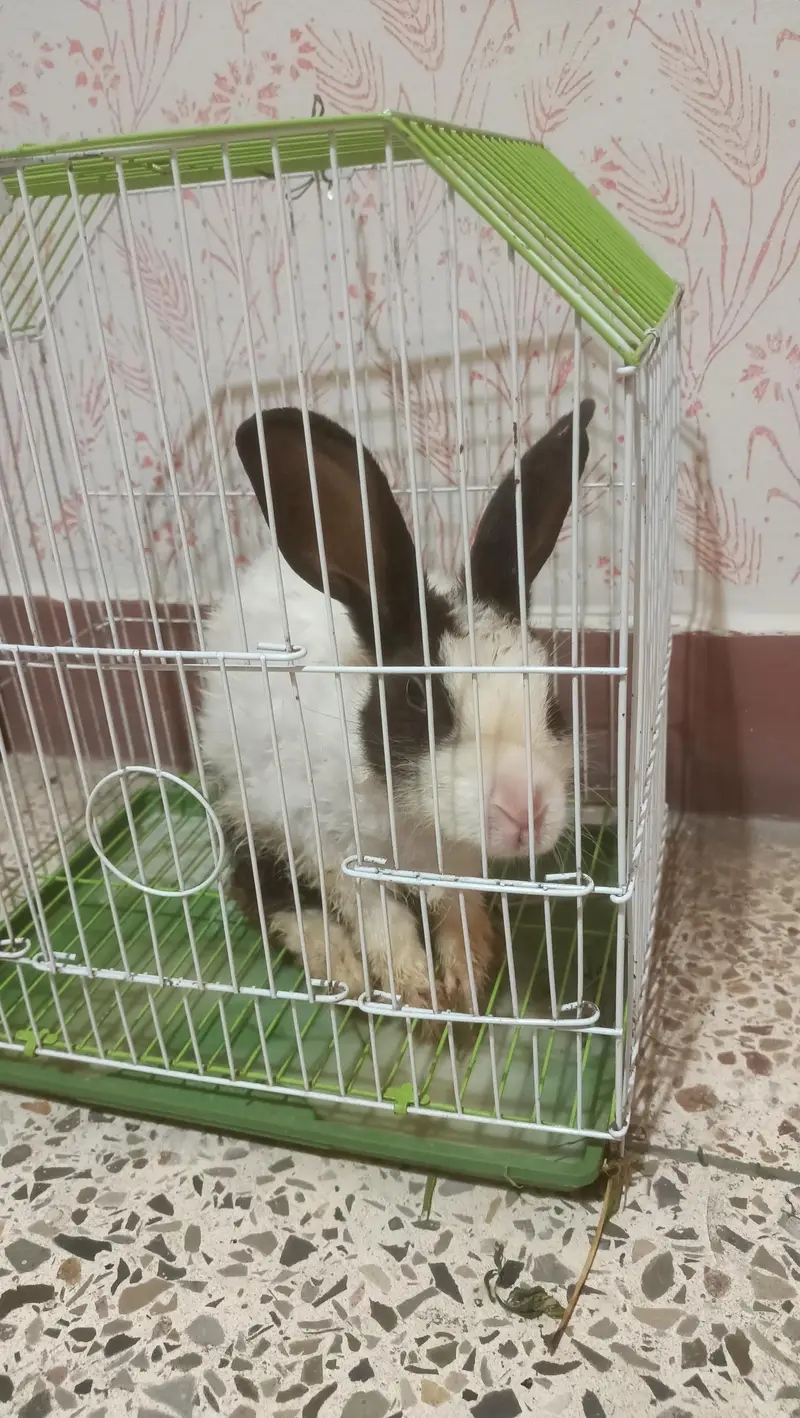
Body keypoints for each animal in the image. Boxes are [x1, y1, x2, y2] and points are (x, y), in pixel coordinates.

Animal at [199, 397, 595, 1020]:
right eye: (418, 696)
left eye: (553, 701)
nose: (525, 812)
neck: (417, 820)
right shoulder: (335, 850)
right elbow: (383, 922)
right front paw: (416, 992)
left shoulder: (459, 867)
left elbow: (456, 913)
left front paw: (467, 980)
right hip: (247, 809)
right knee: (260, 890)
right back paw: (339, 966)